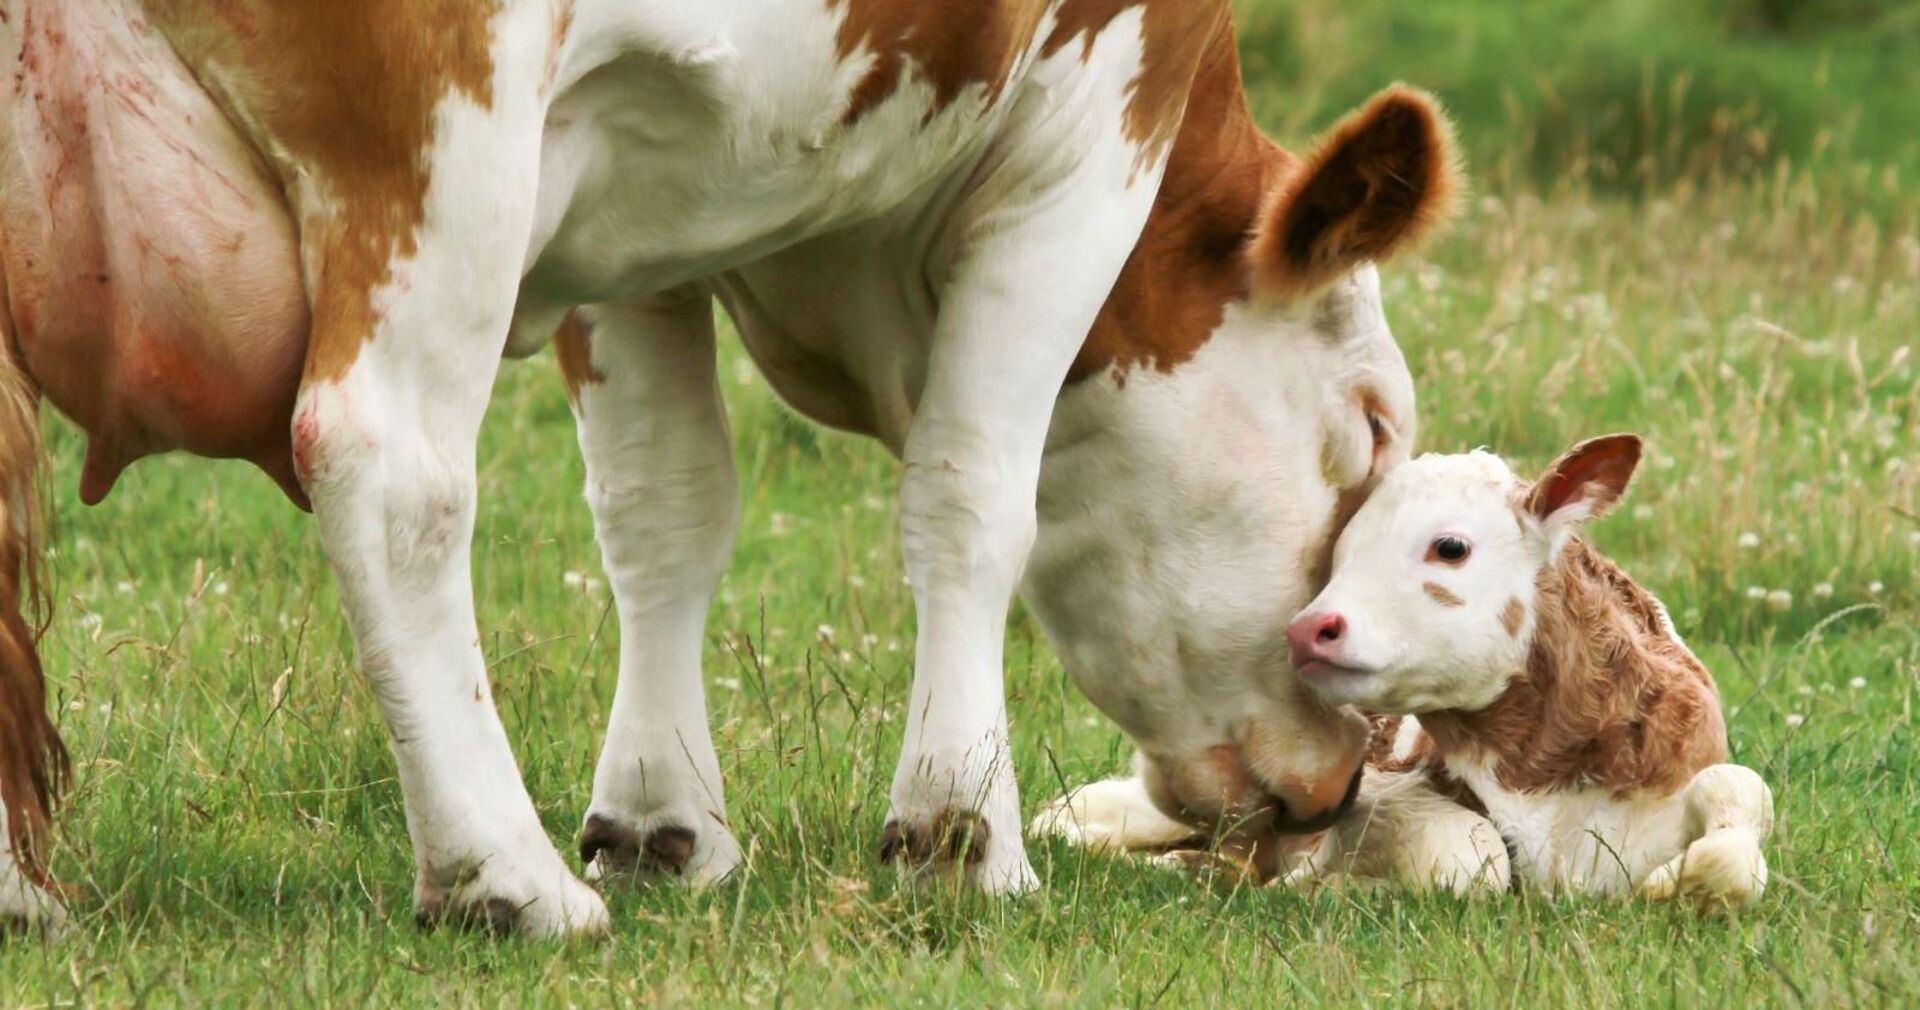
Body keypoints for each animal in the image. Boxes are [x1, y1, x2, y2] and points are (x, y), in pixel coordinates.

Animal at [0, 0, 1458, 935]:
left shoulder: (636, 211)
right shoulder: (1094, 130)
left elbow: (666, 505)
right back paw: (504, 875)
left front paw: (662, 819)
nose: (1349, 772)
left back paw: (21, 891)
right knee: (392, 472)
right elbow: (976, 492)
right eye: (1375, 423)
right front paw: (961, 831)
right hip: (442, 144)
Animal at [1039, 436, 1775, 911]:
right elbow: (1472, 853)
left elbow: (1741, 800)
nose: (1308, 628)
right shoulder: (1381, 793)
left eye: (1450, 546)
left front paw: (1678, 885)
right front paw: (1328, 887)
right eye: (1339, 553)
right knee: (1069, 819)